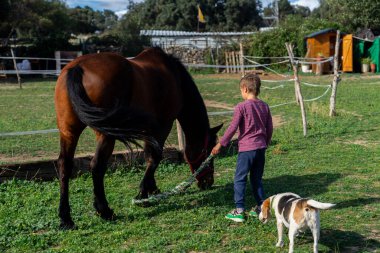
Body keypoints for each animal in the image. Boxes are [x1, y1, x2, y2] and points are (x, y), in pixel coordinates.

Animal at [55, 47, 223, 229]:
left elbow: (150, 156)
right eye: (208, 151)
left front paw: (152, 189)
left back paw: (66, 218)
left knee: (65, 166)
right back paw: (104, 211)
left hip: (69, 132)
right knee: (97, 165)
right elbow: (155, 156)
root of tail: (77, 68)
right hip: (106, 134)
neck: (174, 77)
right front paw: (143, 194)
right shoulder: (163, 125)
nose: (208, 181)